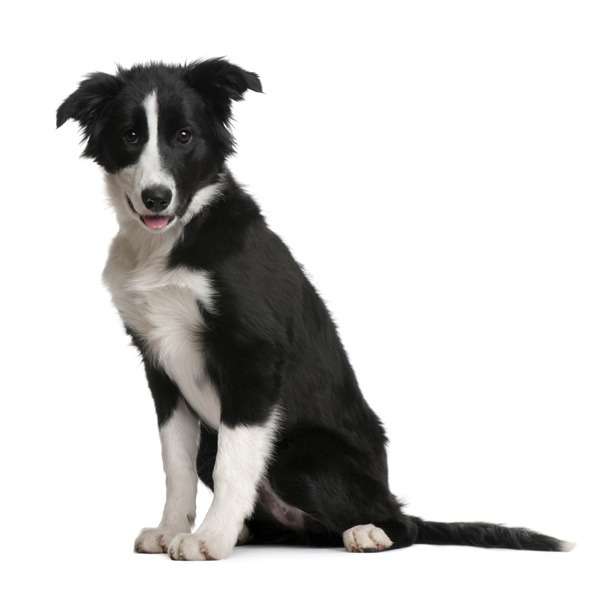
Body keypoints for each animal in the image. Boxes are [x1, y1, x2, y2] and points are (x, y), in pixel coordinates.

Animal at [57, 58, 572, 560]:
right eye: (130, 135)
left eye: (184, 136)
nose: (156, 198)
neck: (172, 240)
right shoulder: (159, 363)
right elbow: (175, 462)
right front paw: (171, 530)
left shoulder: (254, 357)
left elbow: (233, 464)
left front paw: (210, 538)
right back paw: (253, 531)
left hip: (300, 451)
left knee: (401, 522)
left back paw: (367, 532)